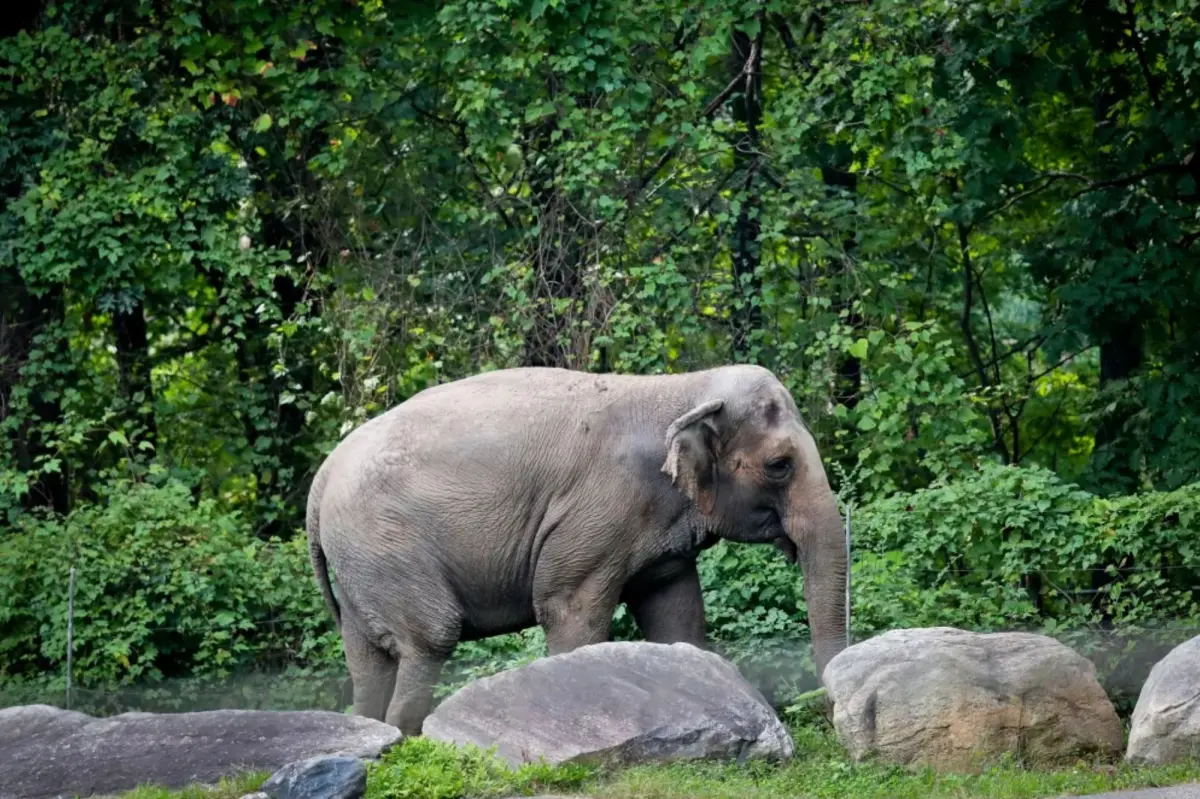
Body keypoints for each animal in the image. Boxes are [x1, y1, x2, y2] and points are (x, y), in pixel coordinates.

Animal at [306, 364, 847, 735]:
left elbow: (677, 615)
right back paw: (404, 737)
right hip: (386, 546)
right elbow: (570, 611)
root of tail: (323, 476)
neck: (682, 387)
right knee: (429, 639)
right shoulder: (598, 512)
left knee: (367, 660)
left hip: (359, 564)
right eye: (779, 465)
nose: (827, 710)